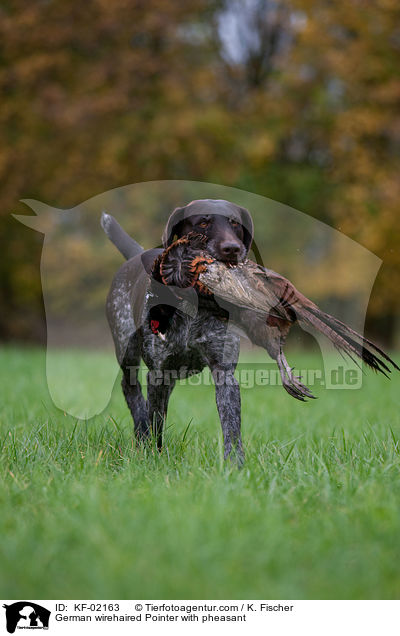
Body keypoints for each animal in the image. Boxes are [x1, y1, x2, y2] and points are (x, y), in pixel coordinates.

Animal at [102, 199, 253, 462]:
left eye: (234, 223)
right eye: (203, 222)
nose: (232, 249)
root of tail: (137, 254)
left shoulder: (224, 372)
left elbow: (231, 424)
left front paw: (235, 464)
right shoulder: (158, 372)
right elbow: (156, 420)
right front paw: (153, 456)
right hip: (127, 348)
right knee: (131, 390)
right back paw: (141, 431)